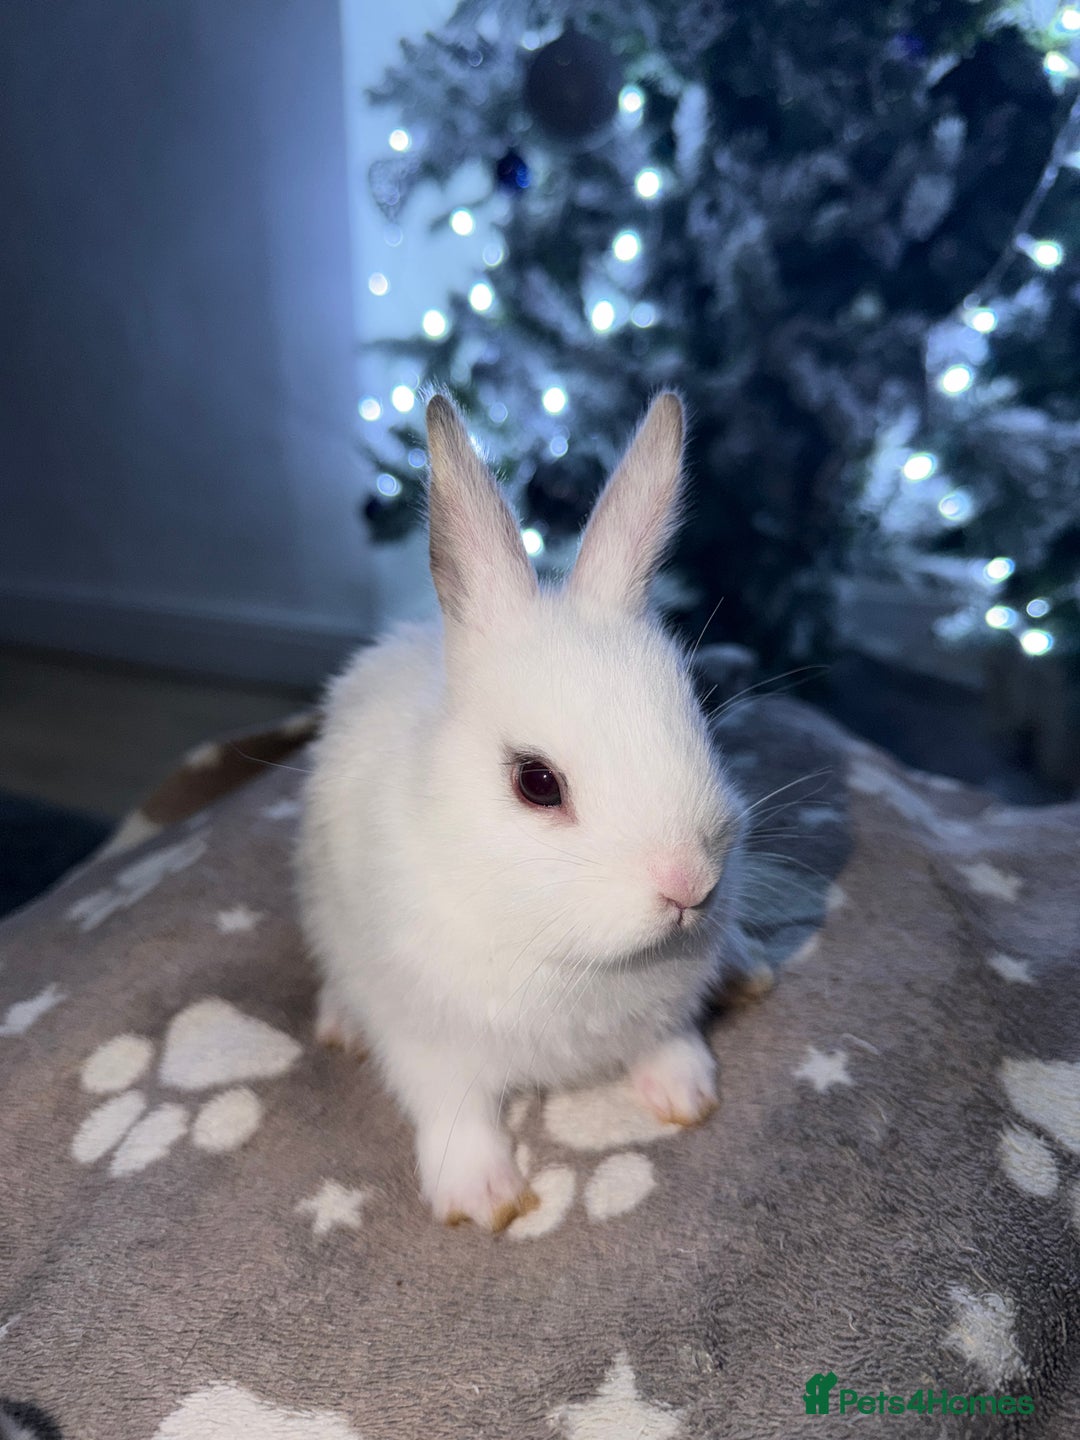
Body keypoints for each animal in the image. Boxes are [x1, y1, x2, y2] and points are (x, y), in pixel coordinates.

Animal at [297, 391, 750, 1231]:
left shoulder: (665, 1009)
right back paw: (340, 1024)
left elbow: (668, 1042)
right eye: (537, 783)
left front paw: (687, 1095)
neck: (568, 952)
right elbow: (454, 1112)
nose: (687, 886)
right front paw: (483, 1199)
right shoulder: (429, 1041)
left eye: (700, 714)